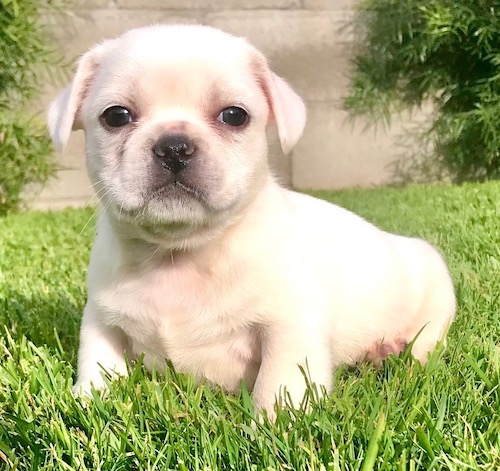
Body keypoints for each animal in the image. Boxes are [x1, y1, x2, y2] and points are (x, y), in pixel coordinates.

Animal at [48, 24, 456, 416]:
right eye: (116, 116)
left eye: (234, 115)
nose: (174, 146)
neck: (179, 254)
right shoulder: (101, 319)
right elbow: (98, 362)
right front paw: (87, 402)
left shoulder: (290, 325)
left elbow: (280, 382)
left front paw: (276, 425)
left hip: (436, 290)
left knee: (427, 341)